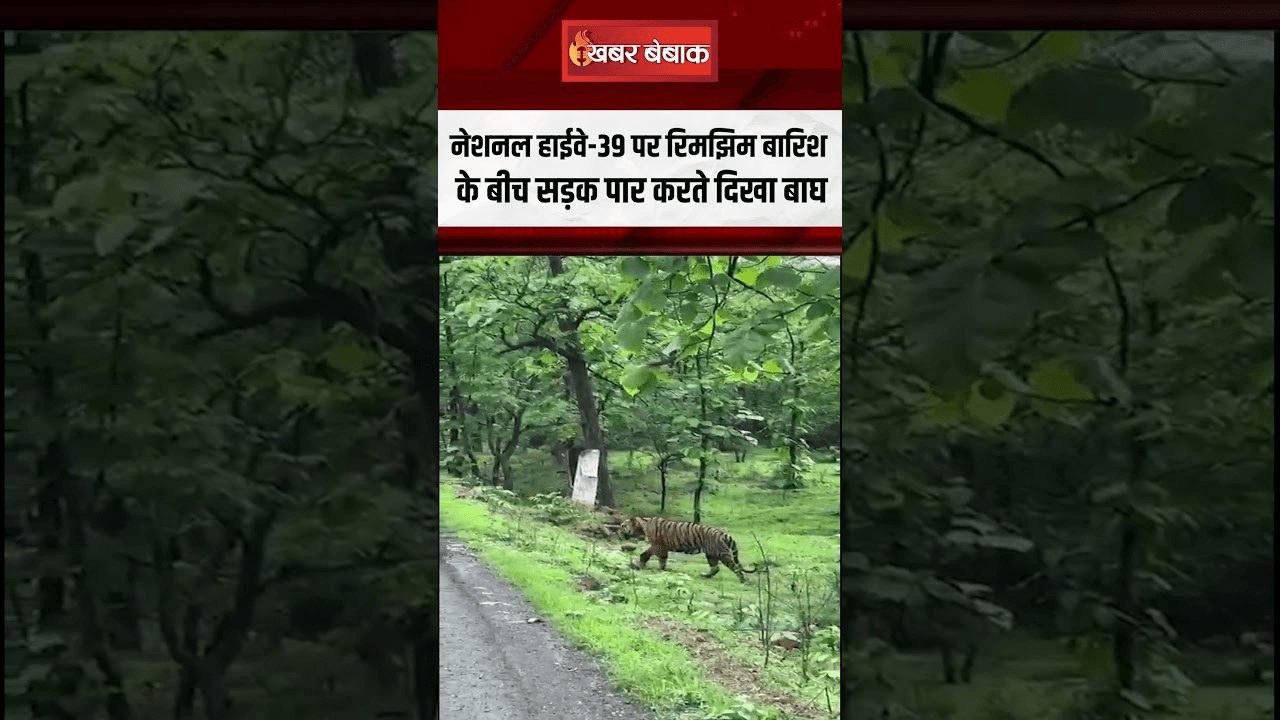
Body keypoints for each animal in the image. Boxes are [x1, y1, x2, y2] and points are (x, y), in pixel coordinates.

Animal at [619, 516, 758, 583]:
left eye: (622, 526)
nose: (617, 531)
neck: (642, 526)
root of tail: (723, 533)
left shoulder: (659, 545)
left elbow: (661, 559)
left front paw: (661, 570)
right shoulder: (657, 546)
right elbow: (645, 554)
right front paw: (641, 564)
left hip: (722, 554)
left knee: (736, 567)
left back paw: (743, 580)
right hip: (711, 554)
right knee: (715, 568)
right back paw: (705, 576)